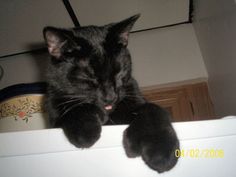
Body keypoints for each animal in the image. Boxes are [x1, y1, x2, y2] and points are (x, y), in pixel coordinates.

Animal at [43, 14, 179, 173]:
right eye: (89, 77)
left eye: (119, 73)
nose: (110, 97)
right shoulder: (54, 115)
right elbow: (74, 108)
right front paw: (85, 129)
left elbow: (152, 108)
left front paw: (161, 150)